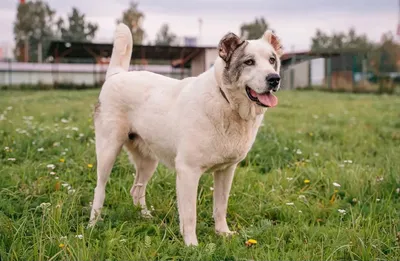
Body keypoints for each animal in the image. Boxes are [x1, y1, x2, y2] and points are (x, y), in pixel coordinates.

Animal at [90, 23, 284, 245]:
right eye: (249, 62)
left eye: (272, 60)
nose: (274, 78)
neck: (225, 101)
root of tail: (117, 74)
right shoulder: (188, 171)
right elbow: (190, 215)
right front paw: (192, 245)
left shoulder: (226, 171)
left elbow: (220, 207)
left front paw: (223, 233)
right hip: (108, 151)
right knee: (99, 189)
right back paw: (93, 224)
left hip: (148, 160)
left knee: (136, 189)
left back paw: (146, 216)